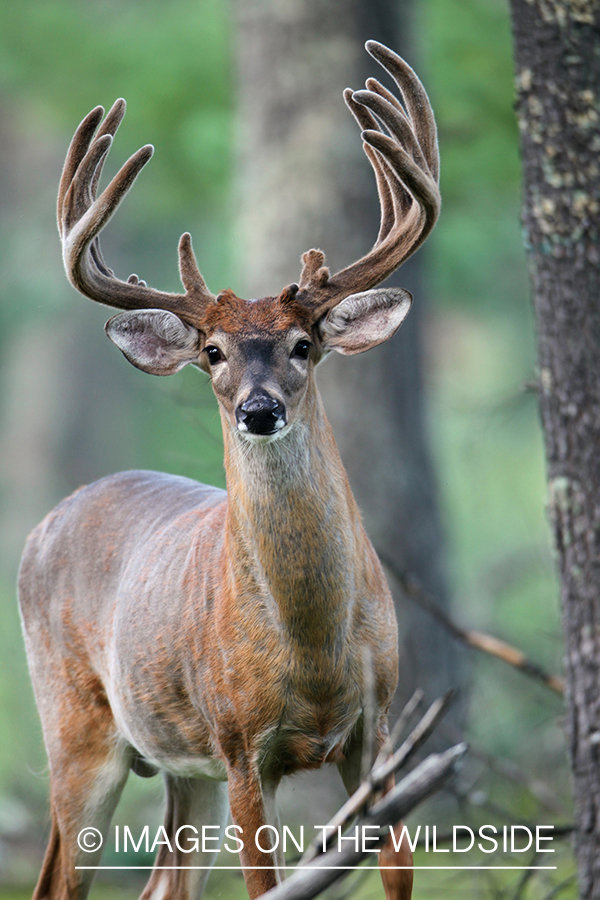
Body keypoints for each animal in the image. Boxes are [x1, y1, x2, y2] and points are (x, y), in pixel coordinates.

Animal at [18, 40, 440, 900]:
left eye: (304, 344)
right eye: (212, 352)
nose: (258, 409)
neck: (313, 649)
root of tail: (48, 519)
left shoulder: (379, 729)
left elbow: (396, 876)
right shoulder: (243, 743)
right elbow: (267, 886)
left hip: (186, 768)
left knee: (163, 885)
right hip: (77, 727)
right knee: (60, 880)